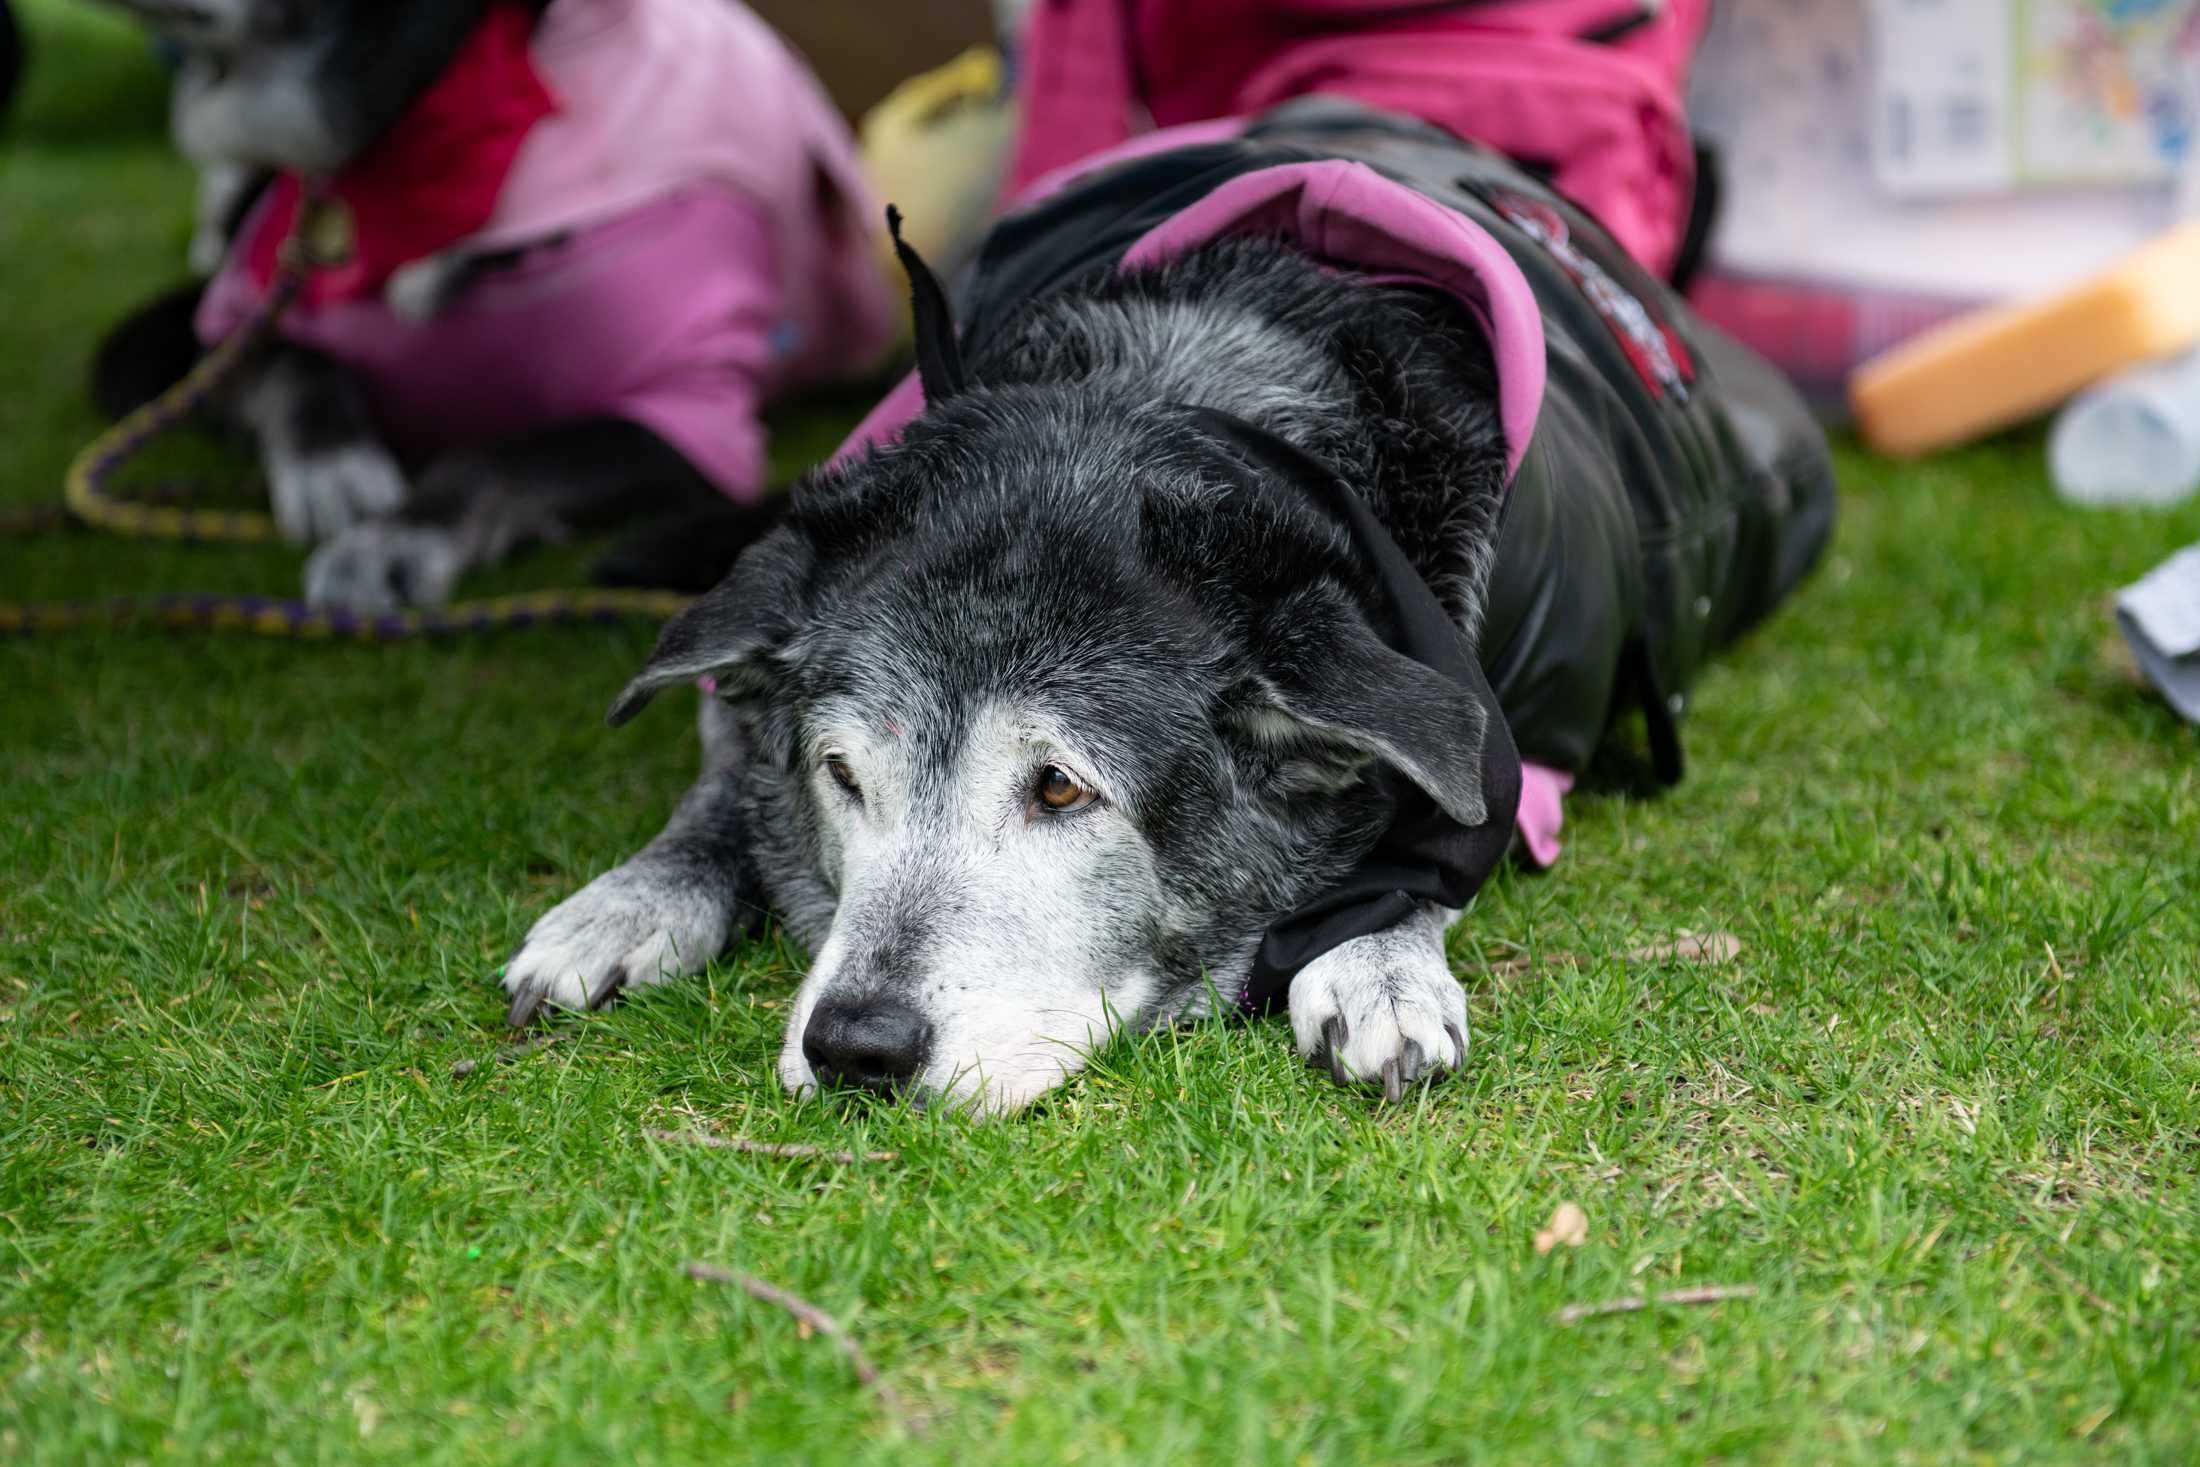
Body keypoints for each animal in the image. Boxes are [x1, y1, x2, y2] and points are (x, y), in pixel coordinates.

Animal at [92, 0, 884, 602]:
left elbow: (492, 457)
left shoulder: (686, 414)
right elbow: (298, 364)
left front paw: (393, 540)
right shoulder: (219, 333)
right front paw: (331, 466)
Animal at [503, 91, 1839, 1112]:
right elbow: (727, 779)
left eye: (1059, 789)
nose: (854, 1049)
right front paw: (632, 897)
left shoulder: (1511, 744)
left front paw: (1378, 958)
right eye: (842, 775)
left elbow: (1438, 838)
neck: (1173, 398)